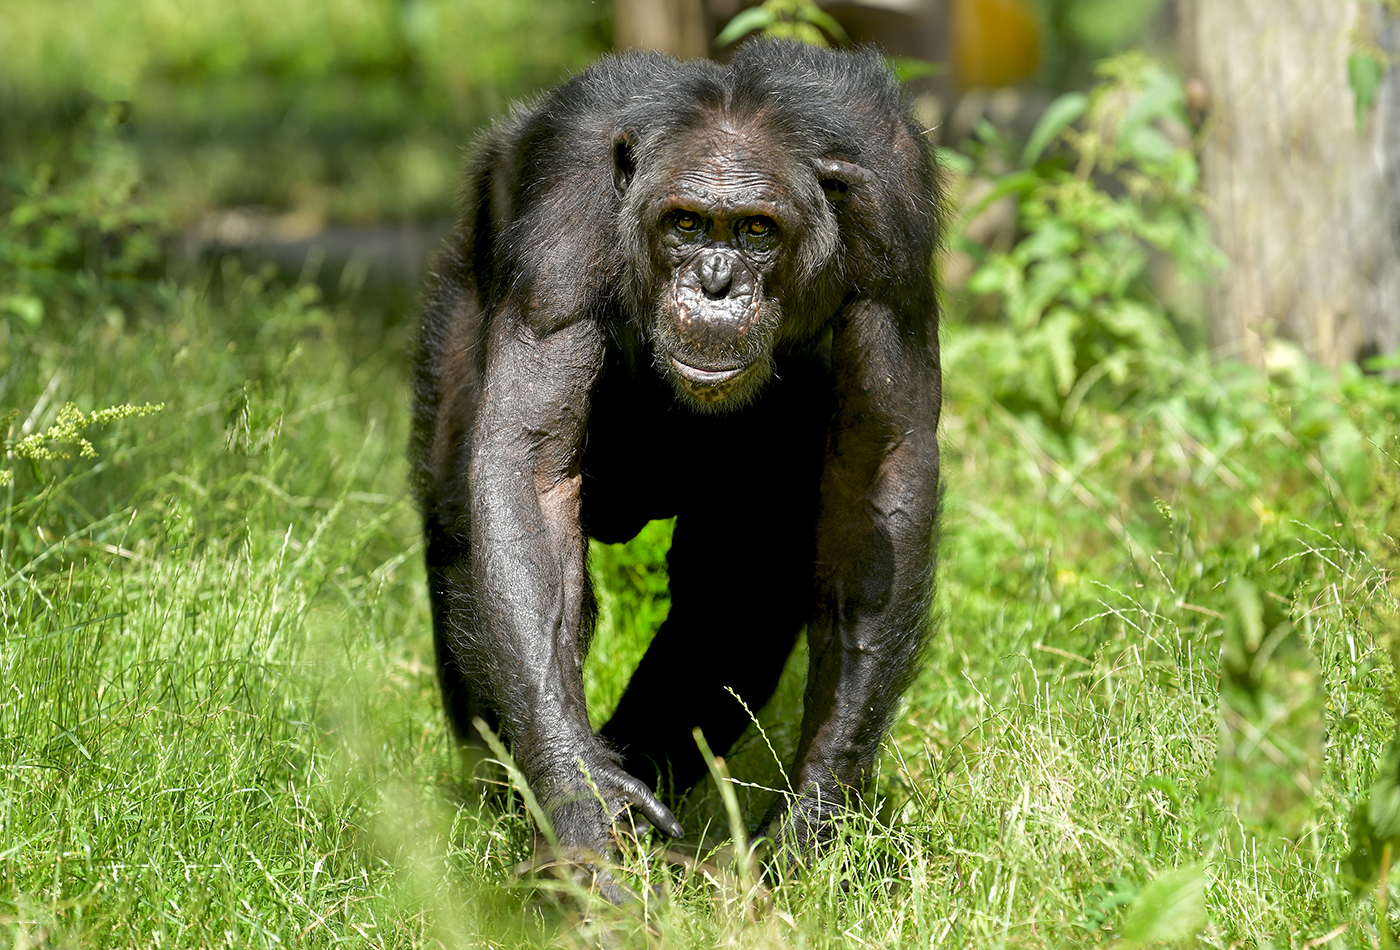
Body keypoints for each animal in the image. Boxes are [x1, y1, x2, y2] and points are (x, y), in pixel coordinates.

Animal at [408, 40, 946, 895]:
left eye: (757, 231)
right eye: (687, 224)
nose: (717, 282)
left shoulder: (893, 205)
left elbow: (881, 471)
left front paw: (816, 815)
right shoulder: (566, 203)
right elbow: (529, 467)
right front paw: (581, 804)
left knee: (740, 580)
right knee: (462, 530)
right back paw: (515, 796)